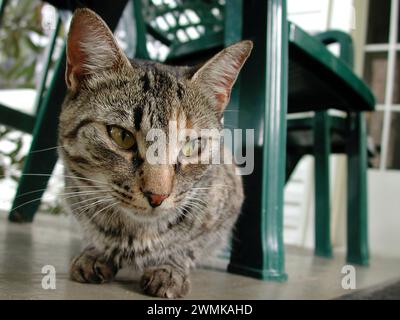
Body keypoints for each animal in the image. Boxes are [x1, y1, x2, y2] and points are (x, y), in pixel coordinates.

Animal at [58, 8, 253, 298]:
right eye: (121, 136)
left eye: (191, 146)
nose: (157, 196)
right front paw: (97, 251)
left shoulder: (228, 203)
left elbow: (189, 245)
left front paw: (170, 266)